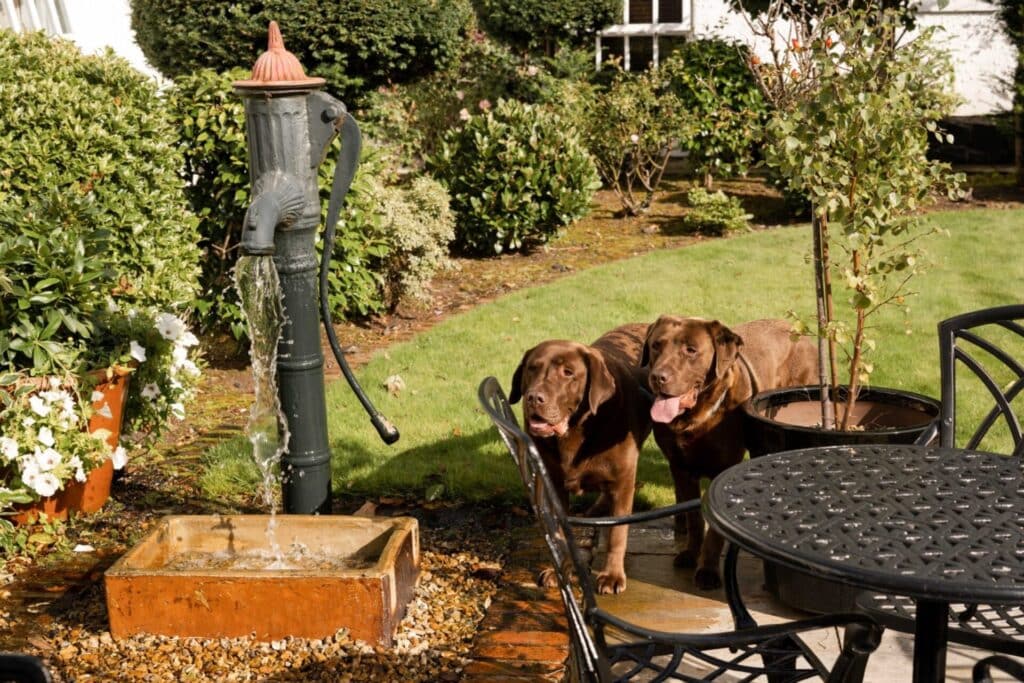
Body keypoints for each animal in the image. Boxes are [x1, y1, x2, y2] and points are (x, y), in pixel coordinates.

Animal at [510, 323, 652, 594]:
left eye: (568, 373)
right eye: (532, 368)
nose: (534, 397)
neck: (574, 433)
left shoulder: (623, 481)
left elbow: (617, 534)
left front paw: (612, 575)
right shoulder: (552, 484)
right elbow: (558, 534)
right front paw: (558, 571)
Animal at [643, 316, 817, 589]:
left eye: (691, 350)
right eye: (656, 345)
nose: (658, 377)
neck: (694, 420)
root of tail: (797, 330)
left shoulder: (721, 469)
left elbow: (714, 530)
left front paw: (708, 570)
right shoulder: (681, 467)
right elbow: (694, 518)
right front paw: (690, 553)